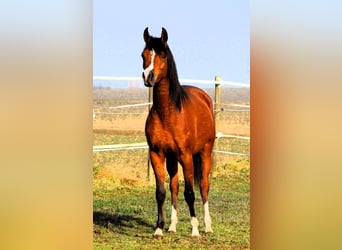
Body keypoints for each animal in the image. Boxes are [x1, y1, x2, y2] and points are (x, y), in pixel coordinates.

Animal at [141, 27, 215, 238]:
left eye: (163, 55)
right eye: (143, 55)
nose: (148, 77)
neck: (168, 113)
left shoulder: (187, 156)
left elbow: (190, 193)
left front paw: (195, 230)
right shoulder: (157, 154)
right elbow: (161, 192)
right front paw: (159, 229)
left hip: (205, 152)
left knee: (203, 186)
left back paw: (207, 226)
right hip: (172, 158)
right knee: (174, 187)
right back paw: (172, 226)